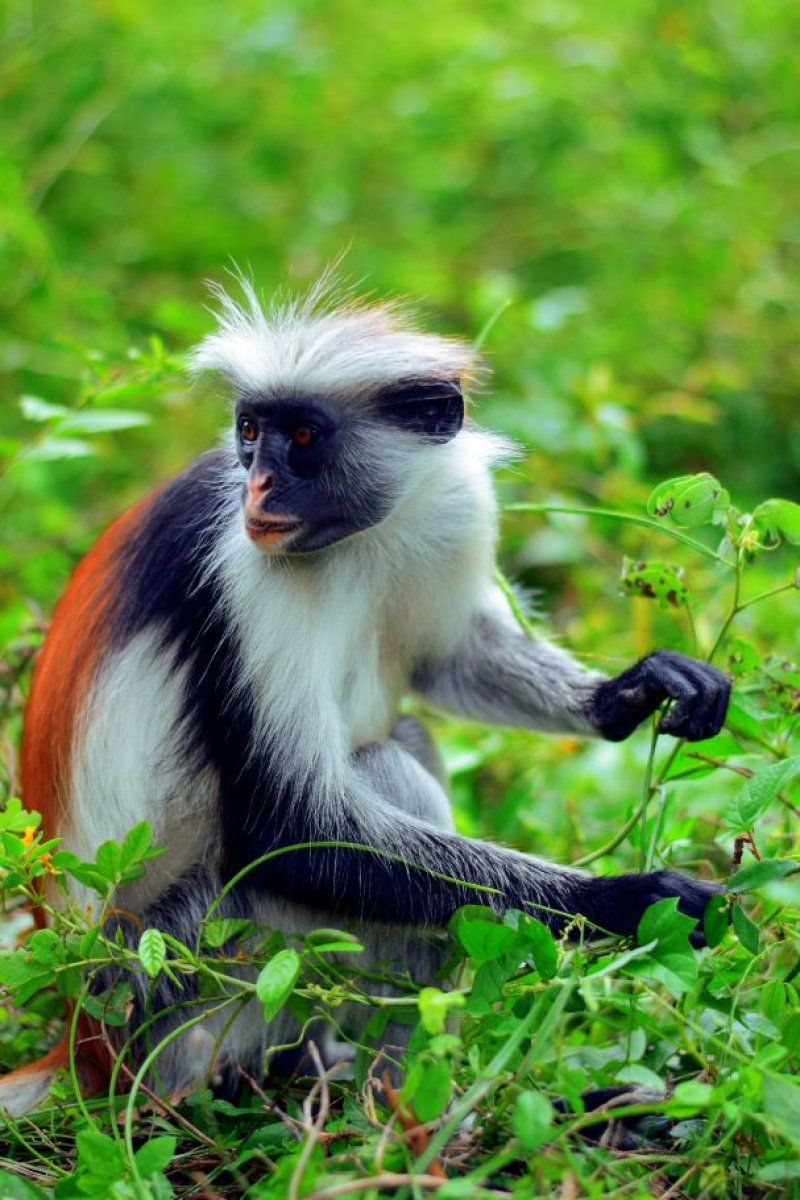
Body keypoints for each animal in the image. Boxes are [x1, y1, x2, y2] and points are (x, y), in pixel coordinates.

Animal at [1, 280, 730, 1114]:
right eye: (250, 432)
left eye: (303, 436)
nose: (258, 483)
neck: (351, 537)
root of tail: (82, 1039)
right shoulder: (242, 563)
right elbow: (286, 829)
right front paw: (626, 900)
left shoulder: (449, 501)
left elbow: (446, 658)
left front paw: (629, 694)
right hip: (190, 972)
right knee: (382, 776)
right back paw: (399, 1108)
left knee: (405, 741)